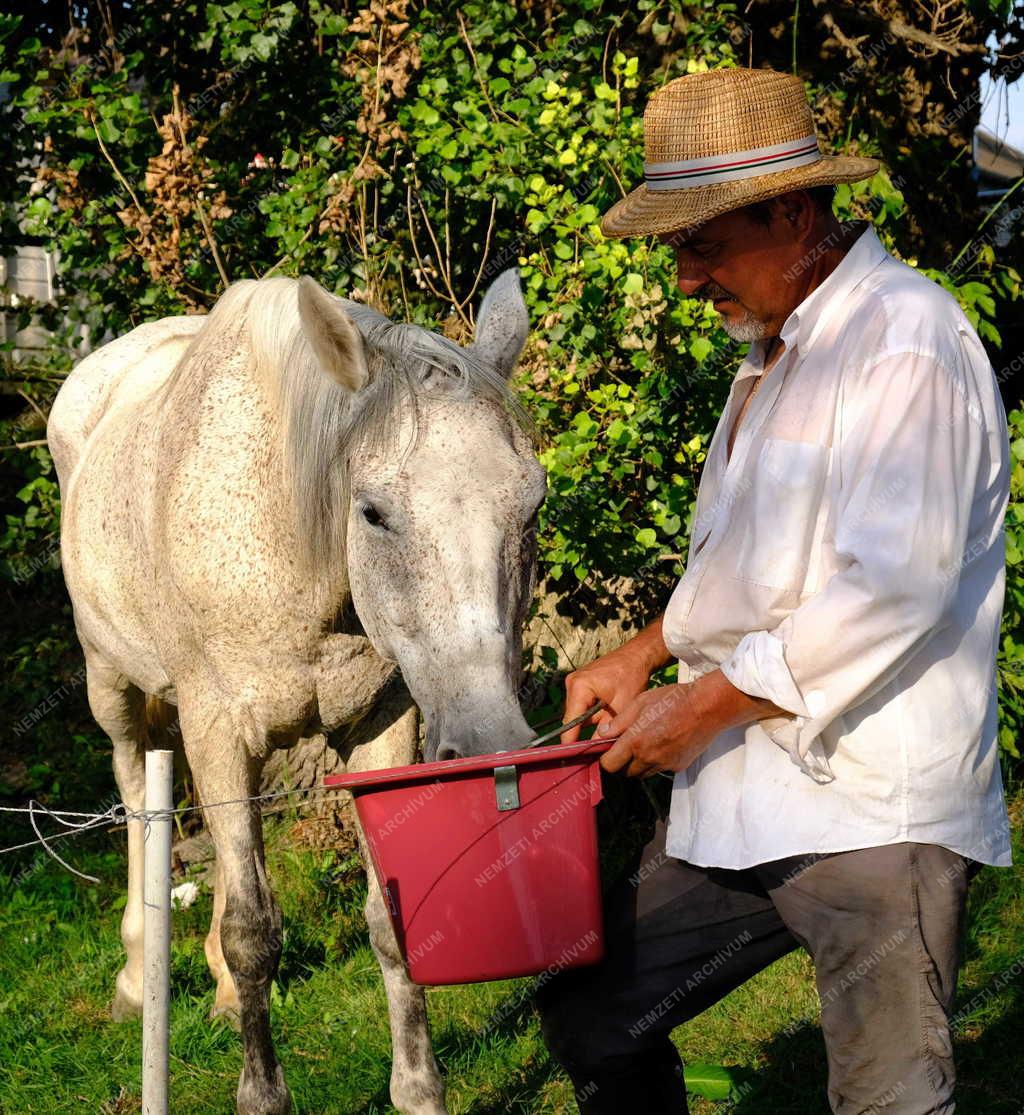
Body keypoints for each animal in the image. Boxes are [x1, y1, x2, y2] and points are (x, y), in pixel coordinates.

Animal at [47, 272, 544, 1115]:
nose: (488, 742)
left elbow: (386, 919)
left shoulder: (380, 725)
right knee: (136, 798)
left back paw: (212, 989)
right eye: (373, 512)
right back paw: (138, 979)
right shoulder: (220, 727)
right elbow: (253, 931)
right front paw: (261, 1094)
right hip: (112, 686)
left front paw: (418, 1089)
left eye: (532, 505)